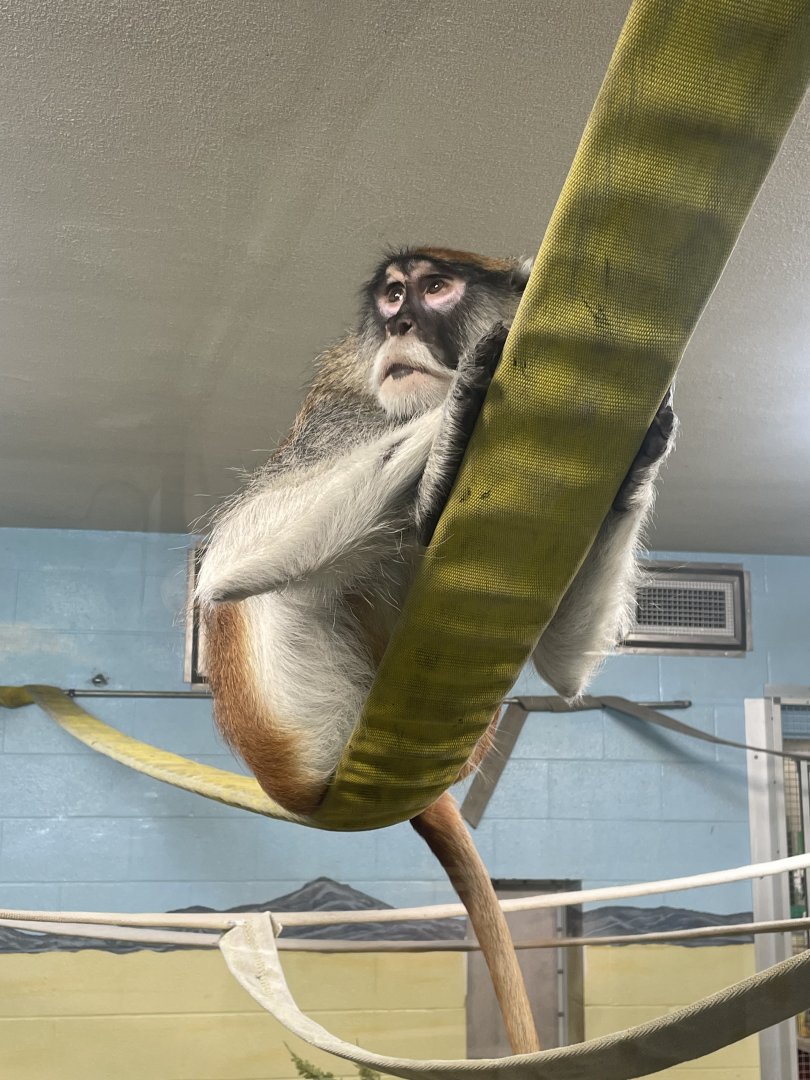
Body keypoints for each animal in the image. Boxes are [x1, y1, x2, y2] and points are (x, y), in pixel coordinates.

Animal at [194, 247, 676, 1055]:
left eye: (436, 288)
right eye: (392, 294)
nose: (400, 325)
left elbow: (561, 666)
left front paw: (635, 461)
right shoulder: (338, 419)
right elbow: (230, 560)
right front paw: (453, 419)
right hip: (299, 715)